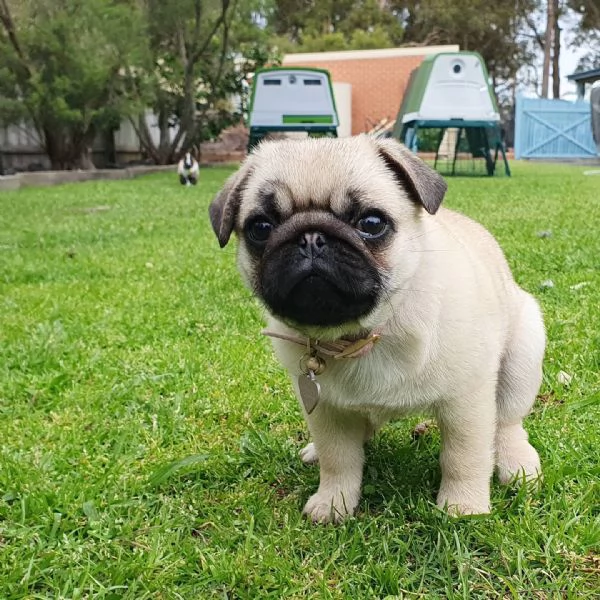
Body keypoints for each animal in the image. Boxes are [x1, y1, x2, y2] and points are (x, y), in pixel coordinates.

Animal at [210, 136, 544, 520]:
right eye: (261, 228)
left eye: (371, 223)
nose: (310, 237)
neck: (361, 335)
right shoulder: (327, 411)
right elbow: (339, 459)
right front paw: (333, 502)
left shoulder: (467, 402)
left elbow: (465, 456)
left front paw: (463, 505)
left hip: (523, 355)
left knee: (506, 423)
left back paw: (516, 463)